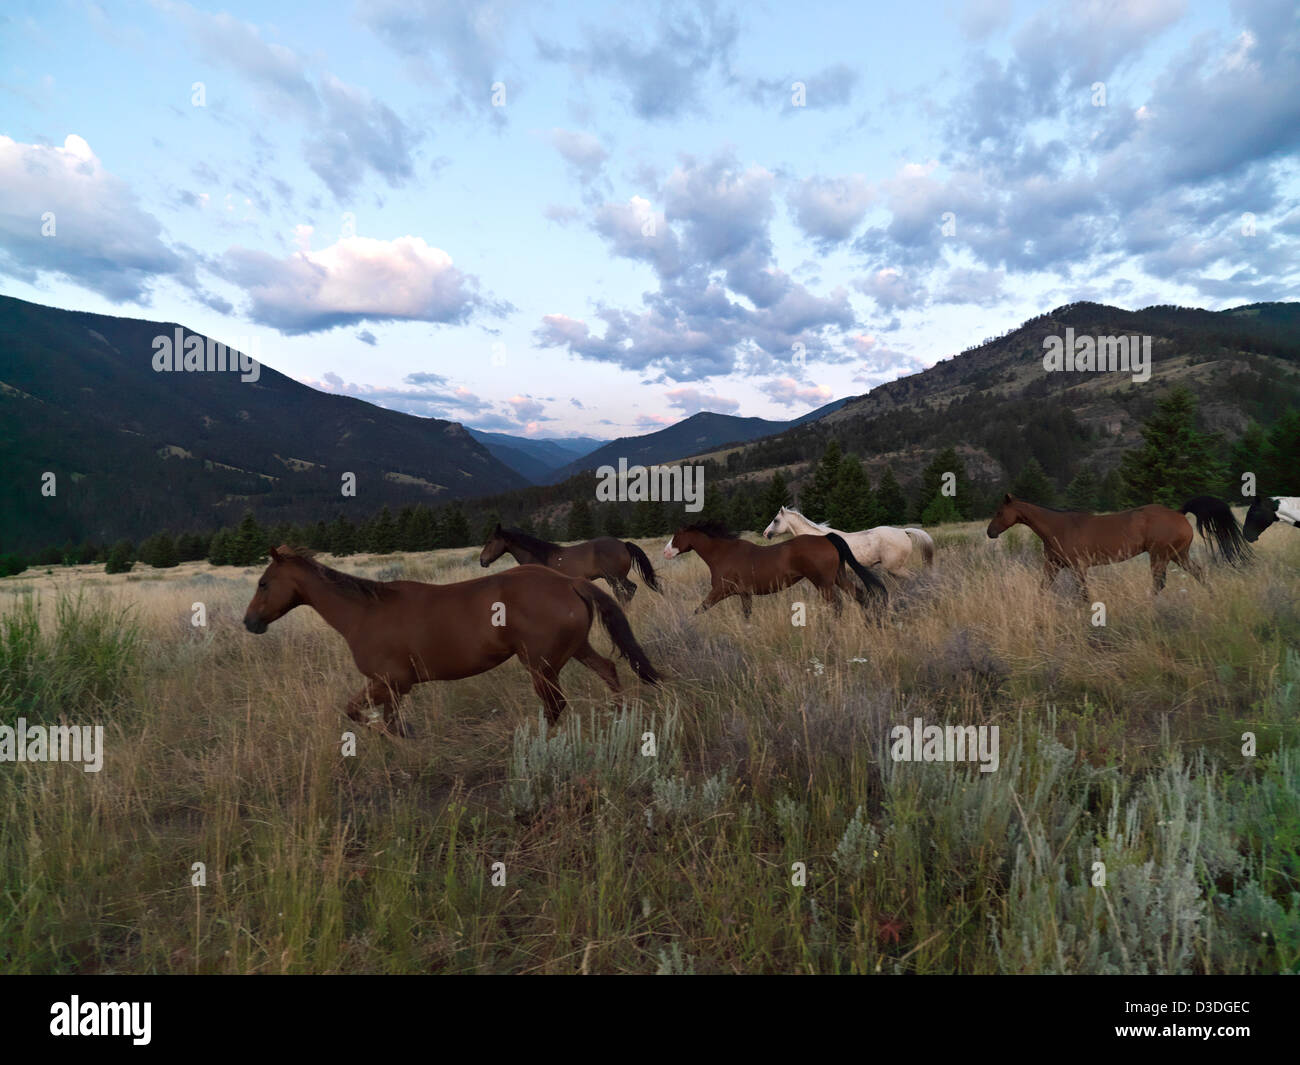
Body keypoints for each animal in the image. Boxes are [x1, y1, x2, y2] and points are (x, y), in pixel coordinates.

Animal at [243, 546, 660, 732]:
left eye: (263, 583)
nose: (250, 622)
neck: (363, 614)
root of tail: (570, 582)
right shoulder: (393, 688)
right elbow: (389, 721)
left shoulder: (390, 682)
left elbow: (357, 712)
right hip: (572, 650)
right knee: (607, 669)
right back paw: (621, 715)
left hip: (541, 665)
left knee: (556, 705)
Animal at [480, 524, 659, 604]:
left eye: (489, 541)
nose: (482, 560)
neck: (539, 556)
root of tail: (623, 544)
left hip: (615, 578)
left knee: (626, 591)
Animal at [662, 520, 888, 618]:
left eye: (677, 535)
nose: (665, 552)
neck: (723, 554)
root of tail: (826, 537)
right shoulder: (744, 594)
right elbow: (747, 615)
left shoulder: (720, 591)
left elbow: (699, 609)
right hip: (838, 577)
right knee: (860, 596)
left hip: (823, 583)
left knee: (837, 605)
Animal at [985, 494, 1248, 598]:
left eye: (999, 512)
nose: (990, 532)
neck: (1057, 528)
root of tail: (1179, 512)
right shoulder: (1053, 565)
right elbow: (1042, 588)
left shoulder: (1079, 567)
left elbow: (1083, 592)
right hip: (1177, 555)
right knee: (1198, 573)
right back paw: (1212, 596)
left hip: (1160, 555)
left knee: (1159, 583)